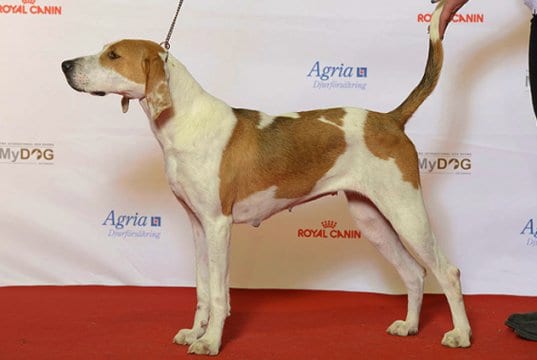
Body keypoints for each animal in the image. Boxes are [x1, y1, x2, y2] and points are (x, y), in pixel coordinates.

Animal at [59, 0, 468, 354]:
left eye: (113, 55)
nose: (64, 64)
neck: (183, 123)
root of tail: (390, 118)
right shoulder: (197, 225)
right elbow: (203, 290)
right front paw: (195, 331)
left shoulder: (218, 225)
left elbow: (219, 293)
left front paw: (210, 342)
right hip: (372, 218)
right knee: (415, 273)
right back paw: (410, 326)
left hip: (406, 212)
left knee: (447, 271)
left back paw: (461, 334)